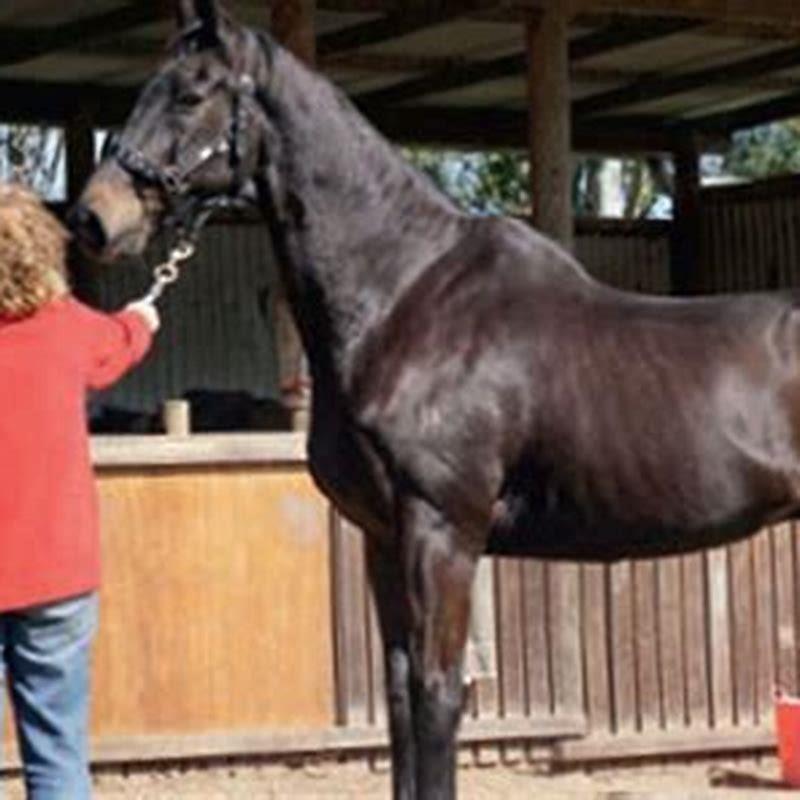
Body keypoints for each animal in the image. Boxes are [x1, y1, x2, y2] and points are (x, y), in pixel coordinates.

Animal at [69, 1, 800, 796]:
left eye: (191, 93)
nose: (93, 218)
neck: (404, 294)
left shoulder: (442, 529)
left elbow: (437, 694)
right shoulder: (384, 536)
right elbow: (397, 697)